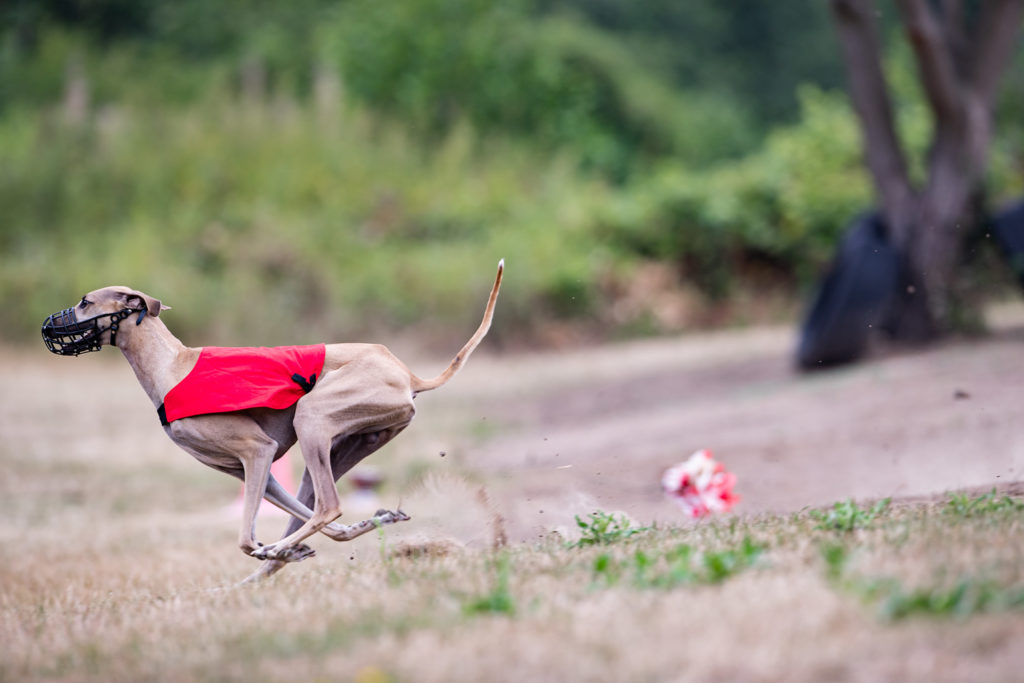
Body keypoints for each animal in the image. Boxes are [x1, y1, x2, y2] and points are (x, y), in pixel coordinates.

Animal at [43, 262, 503, 581]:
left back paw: (280, 550)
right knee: (324, 511)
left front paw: (274, 549)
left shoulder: (257, 452)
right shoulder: (248, 470)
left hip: (312, 418)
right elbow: (298, 524)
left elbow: (246, 538)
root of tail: (408, 374)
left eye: (85, 302)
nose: (49, 324)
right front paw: (291, 550)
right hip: (341, 447)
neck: (171, 366)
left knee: (329, 507)